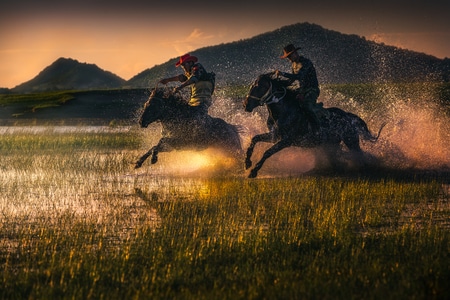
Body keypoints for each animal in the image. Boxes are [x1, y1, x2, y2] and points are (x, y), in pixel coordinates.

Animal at [243, 72, 384, 178]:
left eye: (259, 86)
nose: (246, 105)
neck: (284, 111)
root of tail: (349, 117)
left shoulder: (286, 140)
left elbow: (268, 152)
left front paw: (253, 172)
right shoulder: (274, 136)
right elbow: (254, 139)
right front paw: (247, 163)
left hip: (351, 141)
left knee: (359, 154)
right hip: (333, 143)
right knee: (340, 157)